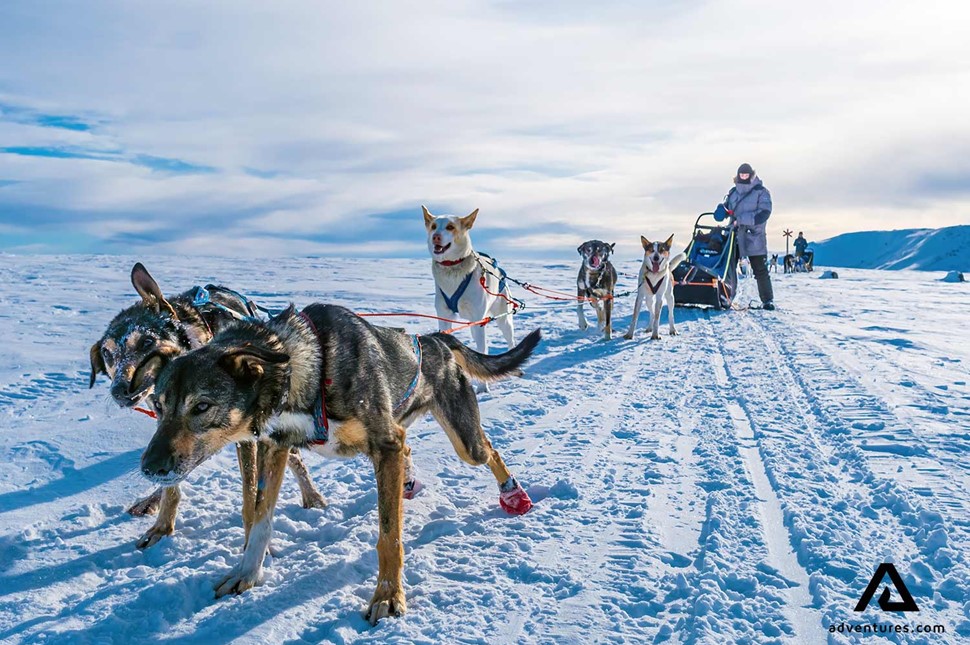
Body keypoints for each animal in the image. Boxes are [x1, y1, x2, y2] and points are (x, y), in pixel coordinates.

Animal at [422, 206, 516, 388]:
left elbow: (482, 351)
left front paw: (482, 388)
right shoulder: (444, 316)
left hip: (503, 320)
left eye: (450, 227)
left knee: (510, 341)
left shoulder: (479, 321)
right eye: (434, 226)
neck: (452, 267)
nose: (435, 236)